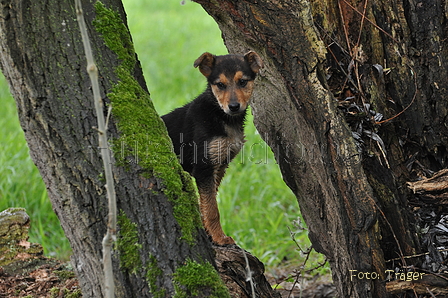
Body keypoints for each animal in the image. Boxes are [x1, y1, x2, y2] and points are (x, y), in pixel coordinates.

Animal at [163, 51, 264, 246]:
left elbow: (207, 203)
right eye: (220, 85)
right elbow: (212, 209)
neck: (221, 115)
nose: (233, 107)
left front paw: (209, 232)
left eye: (242, 82)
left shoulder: (220, 165)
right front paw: (220, 237)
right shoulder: (204, 167)